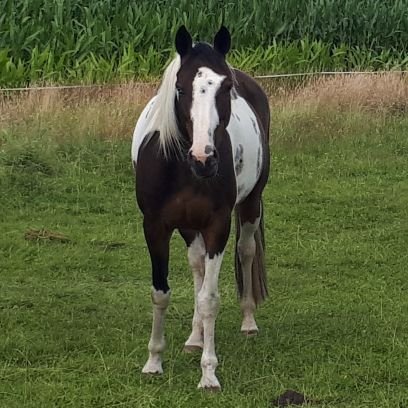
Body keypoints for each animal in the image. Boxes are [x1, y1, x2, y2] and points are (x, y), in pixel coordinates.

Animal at [131, 26, 270, 392]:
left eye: (226, 87)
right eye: (181, 88)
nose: (203, 158)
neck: (181, 168)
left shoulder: (217, 226)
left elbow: (210, 299)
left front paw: (209, 373)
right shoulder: (155, 227)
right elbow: (161, 292)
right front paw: (154, 362)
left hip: (250, 205)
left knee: (246, 251)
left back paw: (248, 321)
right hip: (188, 226)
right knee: (196, 265)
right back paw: (194, 338)